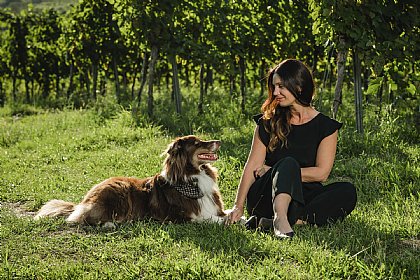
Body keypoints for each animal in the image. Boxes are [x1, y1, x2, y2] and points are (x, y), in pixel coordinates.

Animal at [34, 136, 228, 228]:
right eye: (197, 143)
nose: (219, 141)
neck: (192, 179)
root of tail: (85, 200)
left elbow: (226, 213)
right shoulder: (180, 217)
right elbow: (211, 219)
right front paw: (228, 221)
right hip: (119, 191)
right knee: (85, 218)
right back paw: (110, 224)